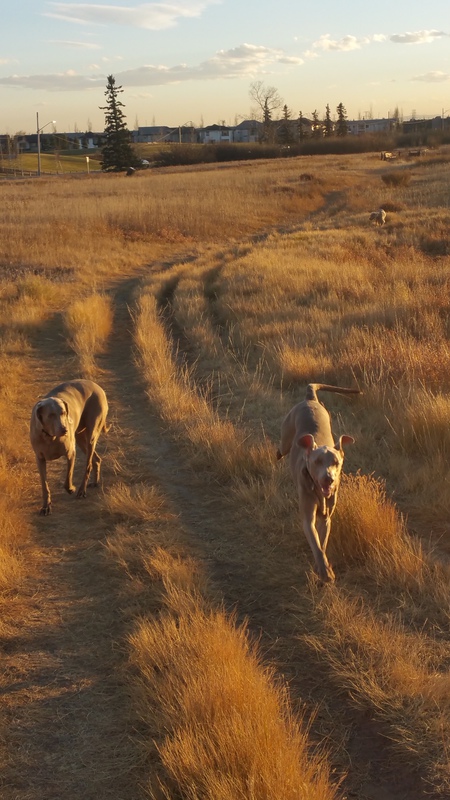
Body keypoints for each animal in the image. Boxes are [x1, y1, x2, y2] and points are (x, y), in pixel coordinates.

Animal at [29, 378, 109, 516]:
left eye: (64, 413)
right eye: (50, 415)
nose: (64, 429)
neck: (50, 436)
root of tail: (97, 387)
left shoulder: (71, 453)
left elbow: (67, 479)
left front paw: (71, 488)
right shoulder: (40, 459)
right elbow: (44, 485)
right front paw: (46, 506)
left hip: (91, 434)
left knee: (88, 464)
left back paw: (81, 490)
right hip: (80, 437)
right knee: (96, 459)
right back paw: (95, 482)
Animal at [276, 382, 360, 580]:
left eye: (336, 462)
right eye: (317, 462)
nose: (328, 479)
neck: (318, 491)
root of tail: (309, 399)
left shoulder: (326, 517)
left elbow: (322, 543)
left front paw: (322, 567)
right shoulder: (308, 518)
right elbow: (315, 542)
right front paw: (325, 571)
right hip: (285, 440)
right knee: (279, 450)